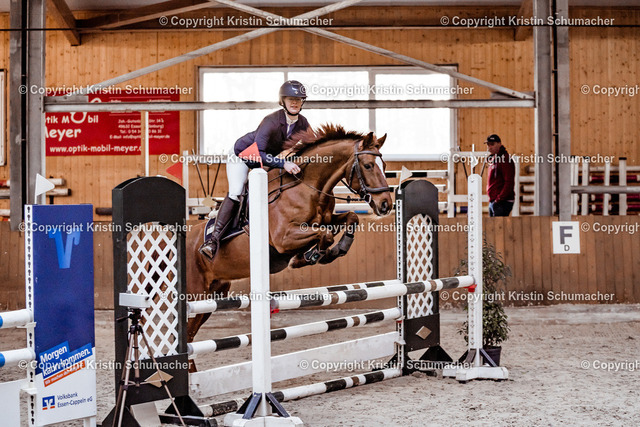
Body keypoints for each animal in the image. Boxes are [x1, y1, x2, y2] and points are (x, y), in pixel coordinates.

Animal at [185, 124, 393, 355]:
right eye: (368, 165)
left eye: (384, 165)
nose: (385, 205)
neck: (307, 187)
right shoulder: (283, 238)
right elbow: (325, 234)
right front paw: (308, 257)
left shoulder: (326, 220)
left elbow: (350, 218)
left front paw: (335, 250)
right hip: (195, 295)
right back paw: (209, 247)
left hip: (213, 295)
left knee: (190, 335)